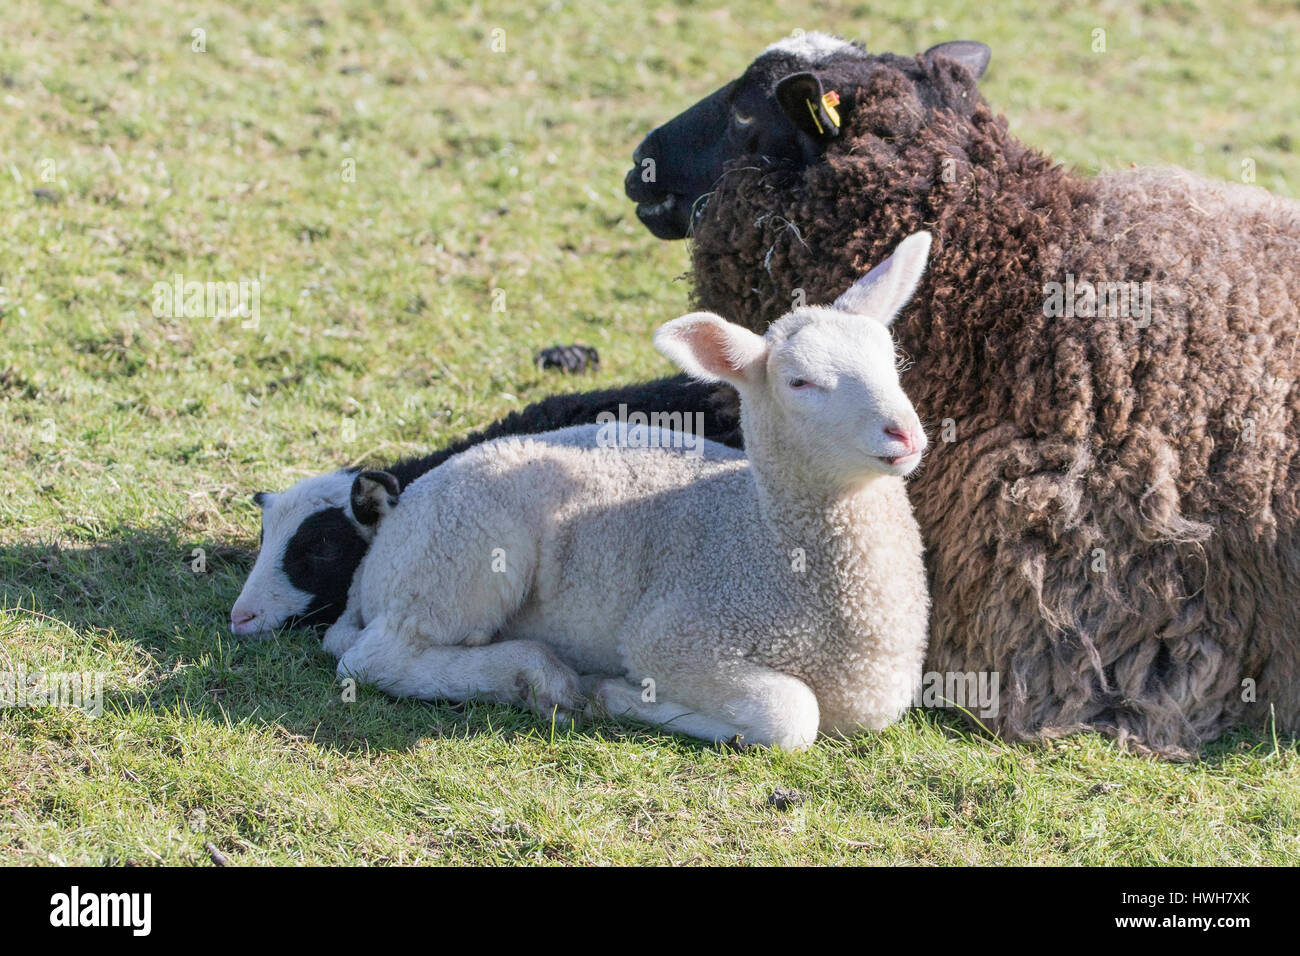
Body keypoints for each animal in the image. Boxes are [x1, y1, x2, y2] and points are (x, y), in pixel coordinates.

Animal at [325, 230, 935, 749]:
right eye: (798, 382)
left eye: (892, 362)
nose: (904, 433)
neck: (765, 541)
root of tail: (382, 545)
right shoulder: (675, 636)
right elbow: (789, 716)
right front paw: (618, 696)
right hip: (458, 554)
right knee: (376, 658)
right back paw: (535, 675)